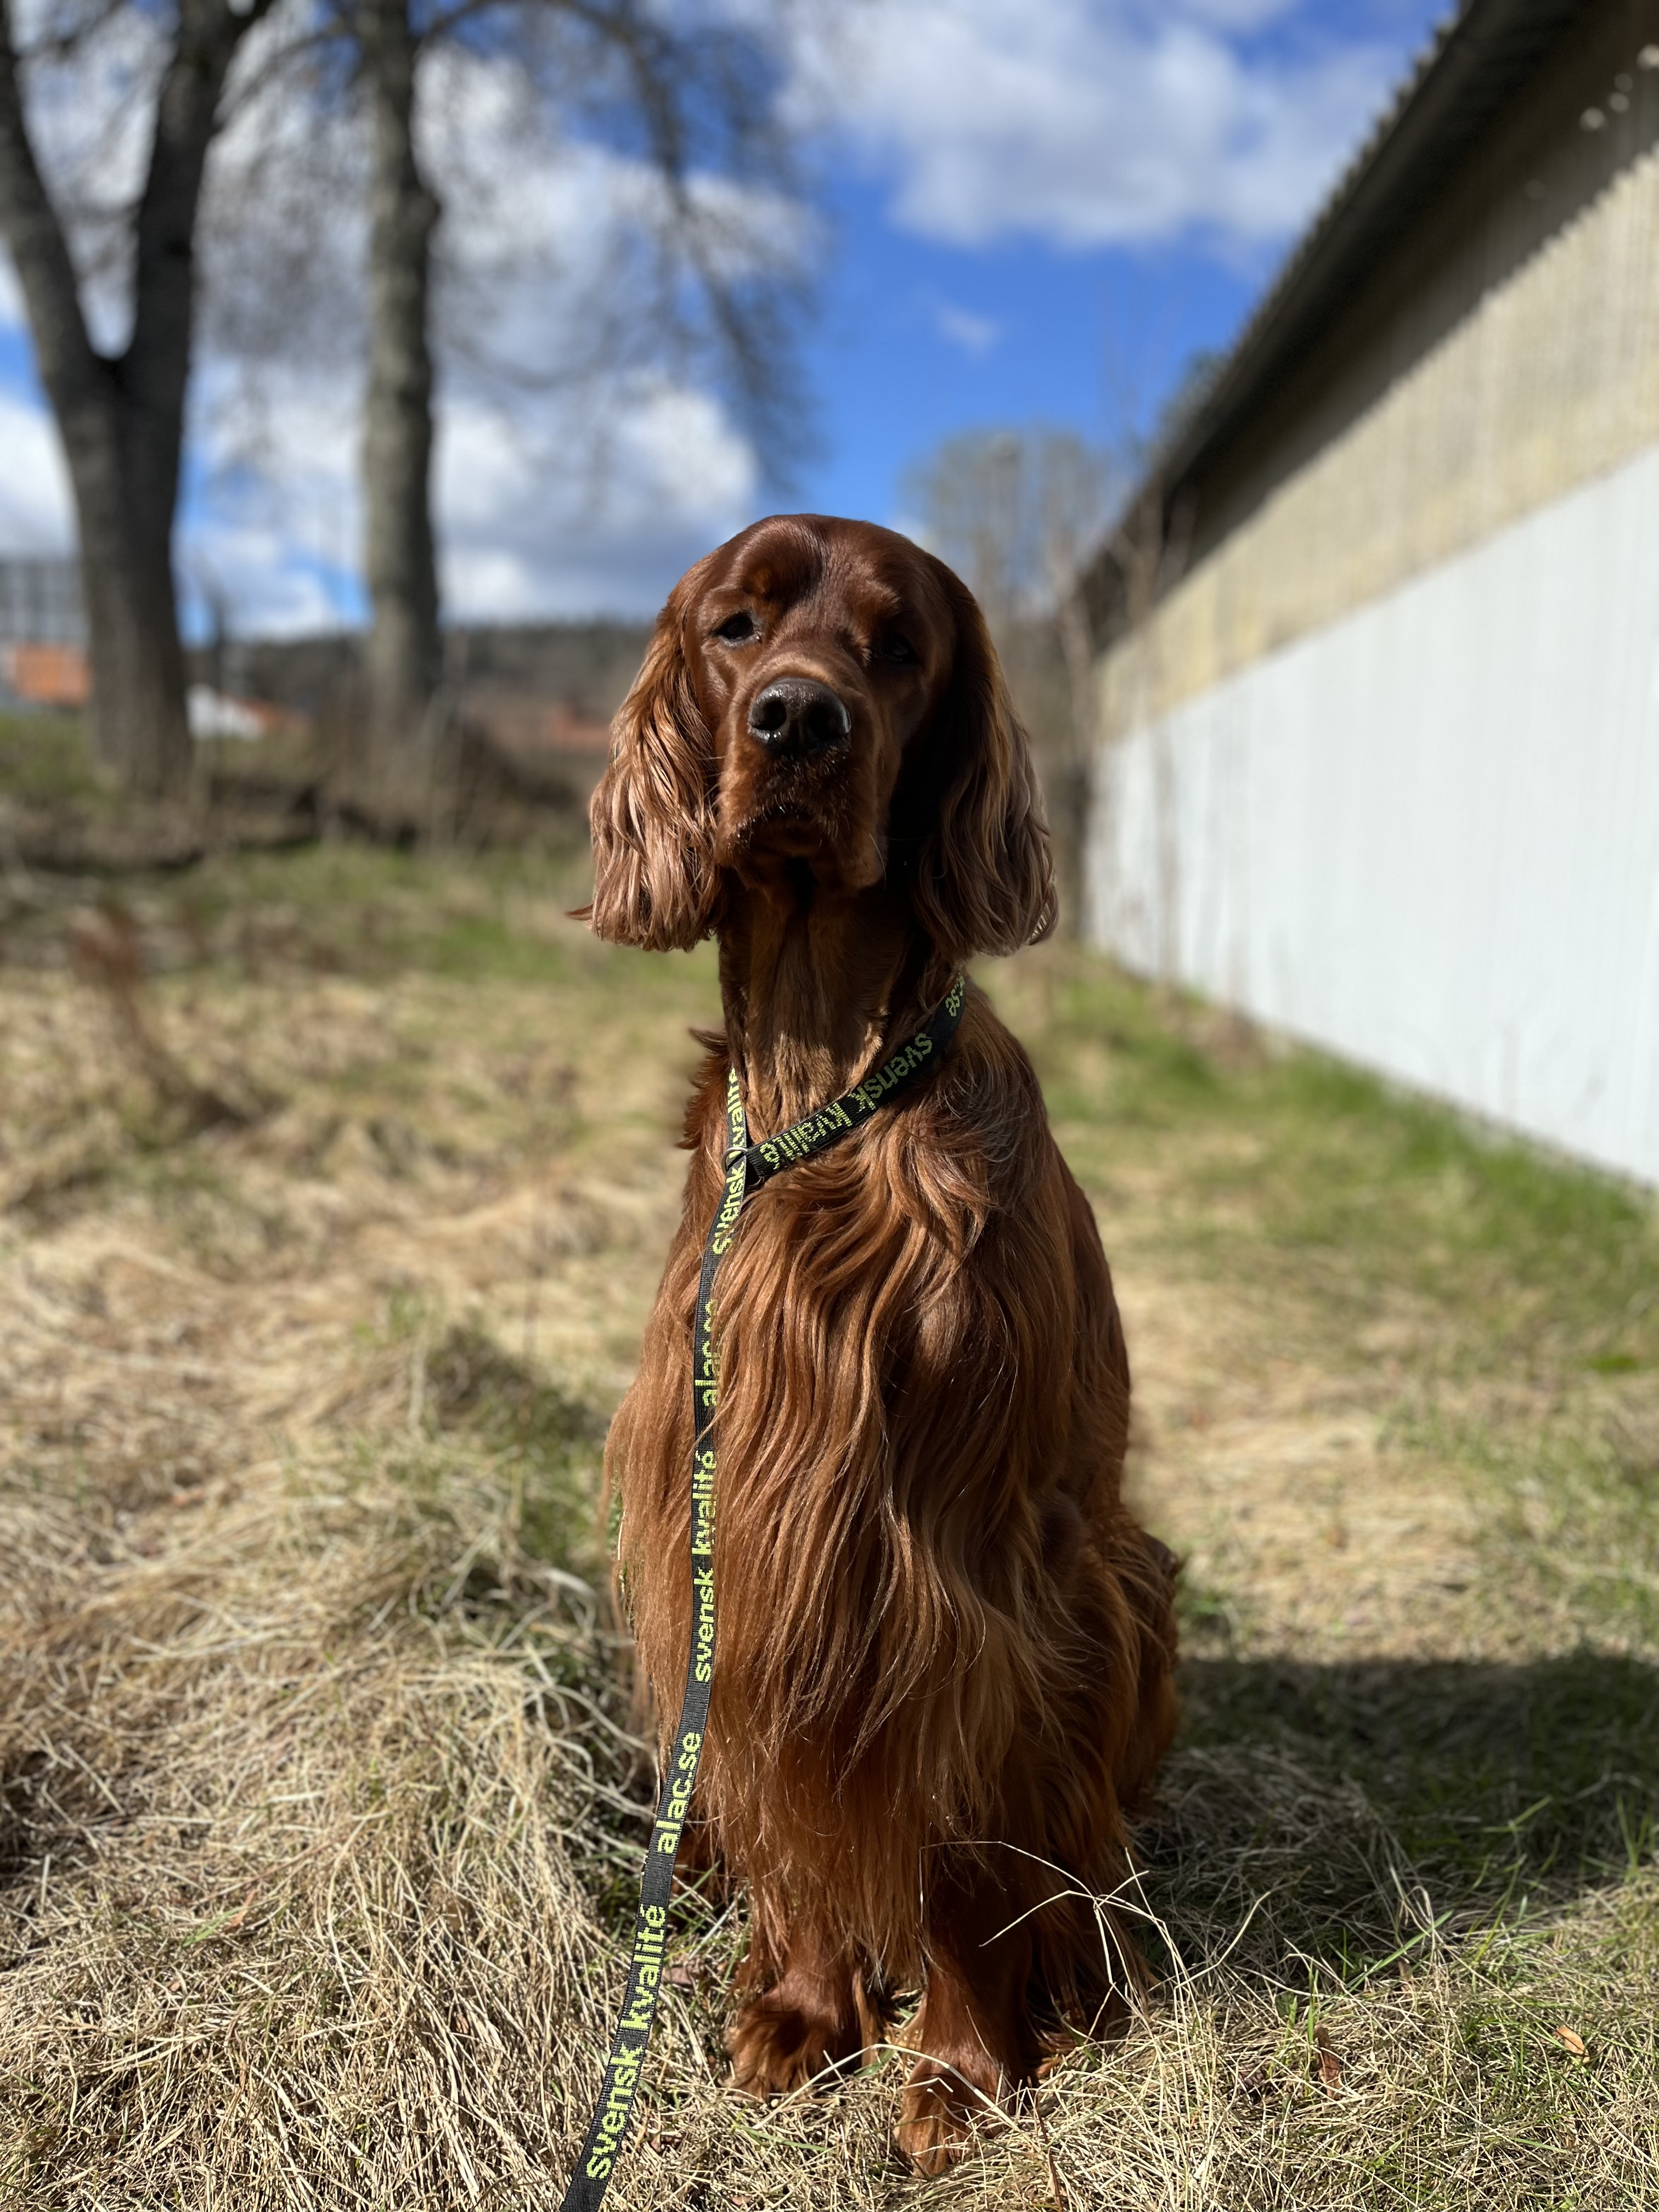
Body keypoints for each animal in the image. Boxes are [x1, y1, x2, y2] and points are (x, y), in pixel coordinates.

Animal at [592, 509, 1177, 2168]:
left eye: (898, 647)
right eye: (736, 627)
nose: (801, 721)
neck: (827, 1099)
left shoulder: (973, 1565)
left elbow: (965, 1849)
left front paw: (964, 2069)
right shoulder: (744, 1524)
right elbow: (785, 1784)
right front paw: (804, 2008)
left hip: (1129, 1593)